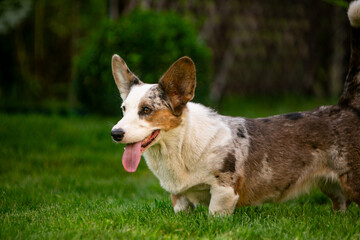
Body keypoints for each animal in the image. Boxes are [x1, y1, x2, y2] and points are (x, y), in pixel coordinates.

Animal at [110, 1, 360, 216]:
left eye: (146, 110)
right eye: (123, 109)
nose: (115, 134)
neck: (180, 145)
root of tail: (344, 106)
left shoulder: (224, 190)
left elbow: (214, 214)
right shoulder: (179, 198)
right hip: (331, 185)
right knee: (340, 202)